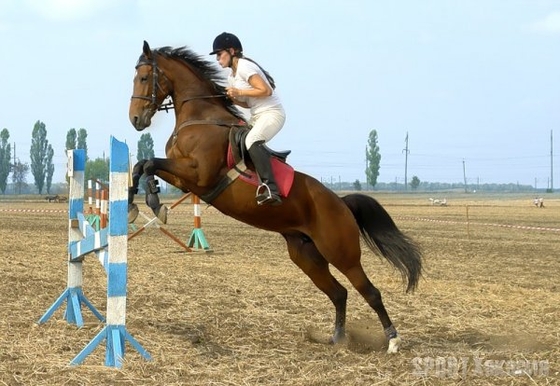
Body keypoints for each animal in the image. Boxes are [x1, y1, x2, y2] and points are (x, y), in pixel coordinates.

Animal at [129, 41, 422, 352]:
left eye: (144, 78)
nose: (135, 119)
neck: (201, 118)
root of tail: (341, 203)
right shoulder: (185, 182)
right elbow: (142, 165)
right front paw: (139, 204)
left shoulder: (198, 175)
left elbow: (149, 163)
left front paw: (154, 204)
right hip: (306, 255)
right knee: (339, 293)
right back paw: (337, 338)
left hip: (341, 253)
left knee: (369, 291)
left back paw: (392, 341)